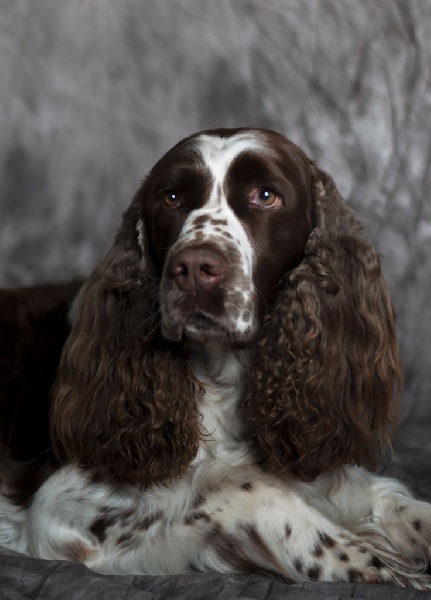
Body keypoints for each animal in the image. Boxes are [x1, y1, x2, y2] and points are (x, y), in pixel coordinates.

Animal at [0, 129, 431, 588]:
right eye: (170, 197)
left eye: (266, 195)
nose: (193, 267)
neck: (226, 379)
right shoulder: (60, 503)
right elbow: (242, 486)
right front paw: (380, 563)